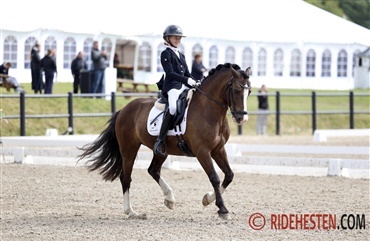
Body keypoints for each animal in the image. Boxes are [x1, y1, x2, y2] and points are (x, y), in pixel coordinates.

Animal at [77, 63, 251, 219]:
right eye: (236, 90)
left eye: (248, 92)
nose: (241, 118)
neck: (209, 109)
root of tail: (124, 109)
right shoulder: (202, 151)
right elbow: (214, 177)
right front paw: (222, 209)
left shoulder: (218, 149)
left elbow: (229, 175)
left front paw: (207, 199)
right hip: (128, 149)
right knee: (126, 178)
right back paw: (132, 212)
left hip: (161, 151)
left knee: (153, 170)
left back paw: (169, 199)